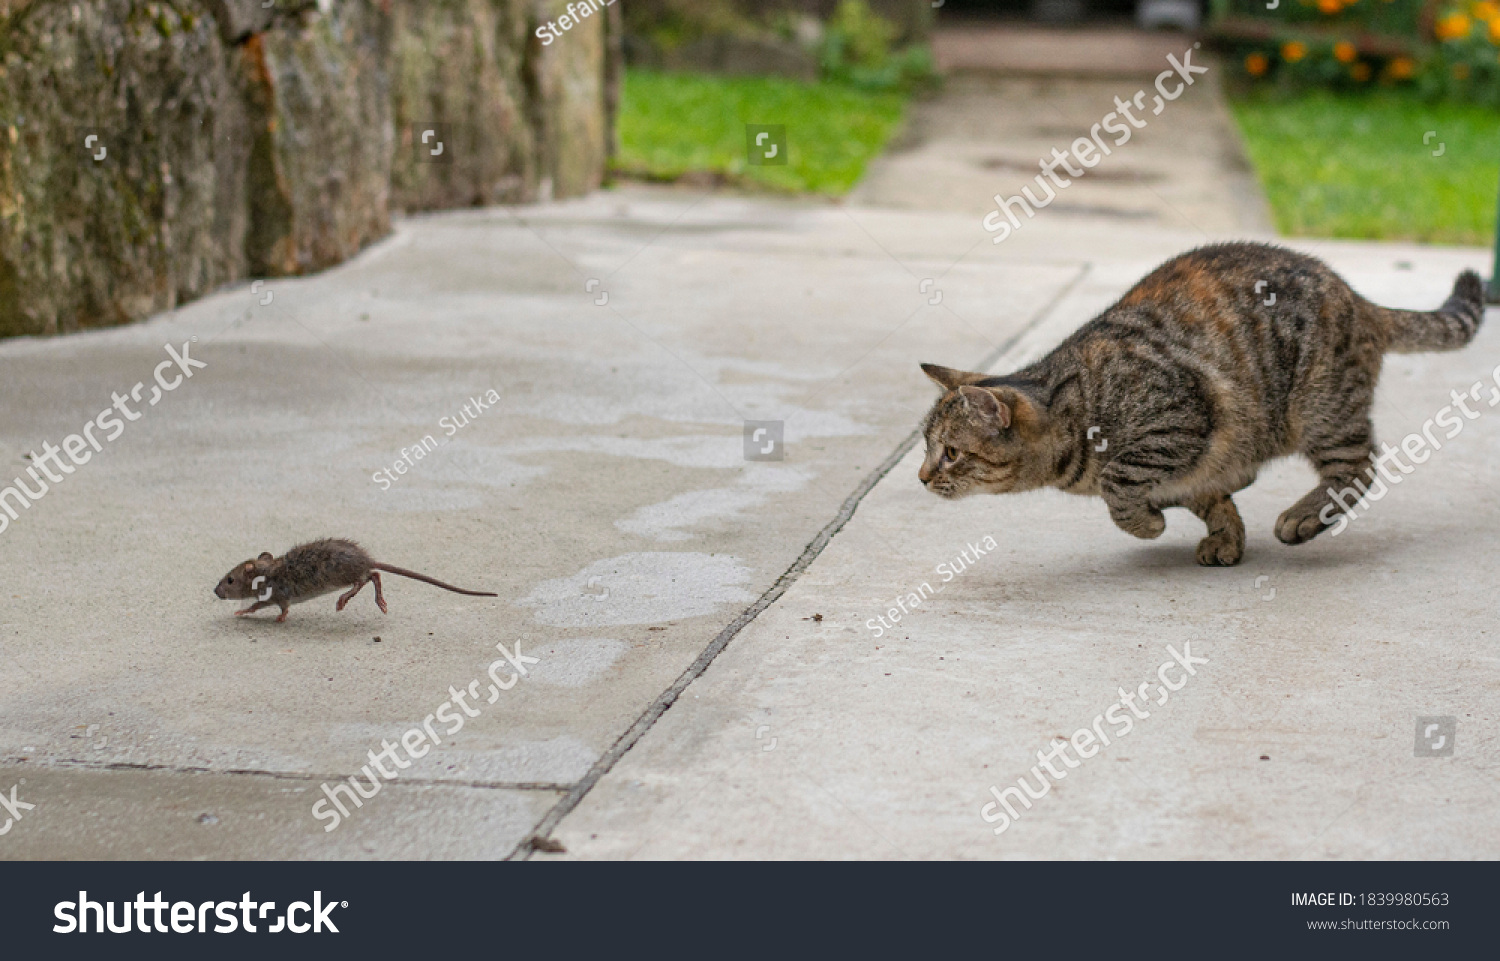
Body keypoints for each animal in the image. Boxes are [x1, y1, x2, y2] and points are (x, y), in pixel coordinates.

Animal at [918, 239, 1482, 566]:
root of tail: (1355, 295)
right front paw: (1226, 536)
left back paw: (1303, 517)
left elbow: (1118, 484)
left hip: (1321, 408)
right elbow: (1209, 498)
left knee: (1358, 467)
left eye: (950, 453)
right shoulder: (1196, 467)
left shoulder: (1178, 421)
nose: (921, 477)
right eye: (925, 450)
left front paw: (1148, 523)